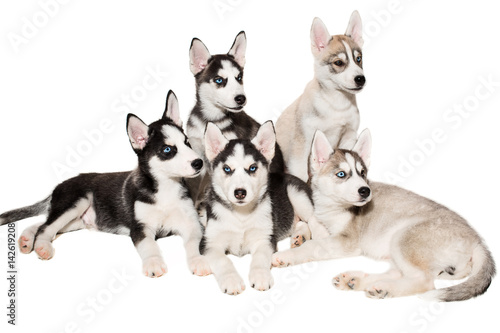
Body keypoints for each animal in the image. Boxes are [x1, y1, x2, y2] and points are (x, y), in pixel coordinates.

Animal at [0, 91, 211, 278]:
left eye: (187, 143)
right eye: (167, 150)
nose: (199, 163)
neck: (165, 189)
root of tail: (57, 187)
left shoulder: (192, 224)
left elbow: (194, 243)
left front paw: (198, 261)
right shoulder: (140, 228)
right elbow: (149, 245)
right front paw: (153, 263)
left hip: (75, 221)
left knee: (44, 223)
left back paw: (27, 238)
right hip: (76, 203)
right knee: (46, 227)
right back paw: (42, 246)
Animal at [201, 121, 322, 294]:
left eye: (252, 168)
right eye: (227, 169)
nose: (240, 193)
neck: (241, 216)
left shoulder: (264, 239)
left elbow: (260, 258)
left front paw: (260, 277)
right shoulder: (209, 242)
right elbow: (222, 260)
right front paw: (231, 280)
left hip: (296, 194)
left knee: (312, 218)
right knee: (299, 222)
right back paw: (299, 236)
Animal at [274, 128, 496, 300]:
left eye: (363, 173)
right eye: (341, 174)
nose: (365, 190)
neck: (333, 206)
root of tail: (477, 241)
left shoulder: (348, 241)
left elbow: (313, 245)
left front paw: (286, 255)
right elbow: (312, 224)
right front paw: (300, 235)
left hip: (404, 238)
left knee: (423, 282)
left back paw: (384, 289)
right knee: (399, 273)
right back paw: (357, 281)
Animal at [276, 11, 366, 182]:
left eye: (358, 59)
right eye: (339, 63)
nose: (361, 79)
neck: (337, 104)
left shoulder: (349, 135)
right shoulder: (303, 143)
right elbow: (301, 174)